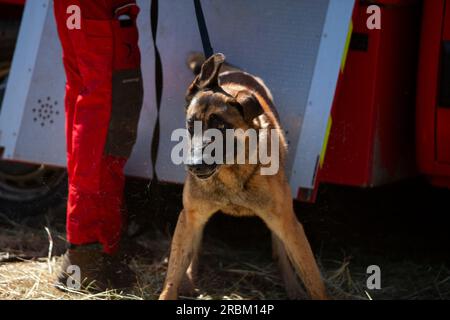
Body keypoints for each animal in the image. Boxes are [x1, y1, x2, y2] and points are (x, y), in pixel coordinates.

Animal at [159, 53, 326, 300]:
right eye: (191, 124)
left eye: (221, 126)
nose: (193, 165)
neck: (231, 171)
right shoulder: (190, 216)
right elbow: (172, 275)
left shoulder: (289, 224)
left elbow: (313, 278)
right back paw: (189, 279)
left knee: (281, 250)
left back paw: (293, 287)